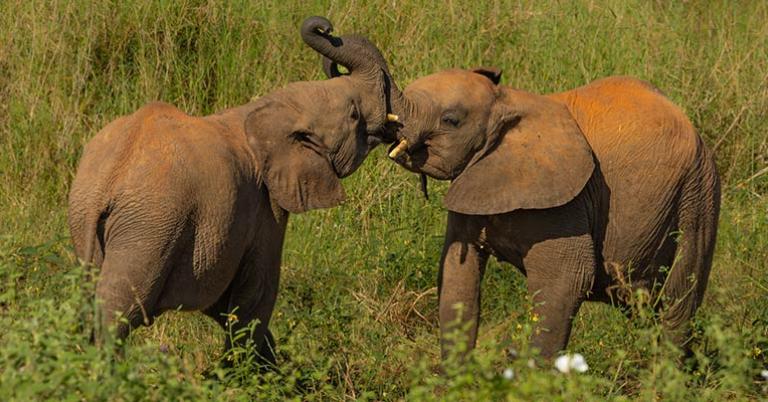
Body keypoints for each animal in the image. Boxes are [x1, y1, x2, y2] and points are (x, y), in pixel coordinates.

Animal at [67, 17, 400, 365]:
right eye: (354, 115)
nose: (324, 27)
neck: (272, 109)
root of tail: (108, 179)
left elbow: (222, 303)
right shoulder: (264, 207)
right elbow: (256, 294)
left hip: (90, 220)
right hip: (148, 228)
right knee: (119, 313)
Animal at [375, 67, 720, 360]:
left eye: (450, 120)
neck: (508, 100)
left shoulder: (567, 204)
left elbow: (567, 280)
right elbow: (458, 276)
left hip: (698, 196)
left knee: (678, 303)